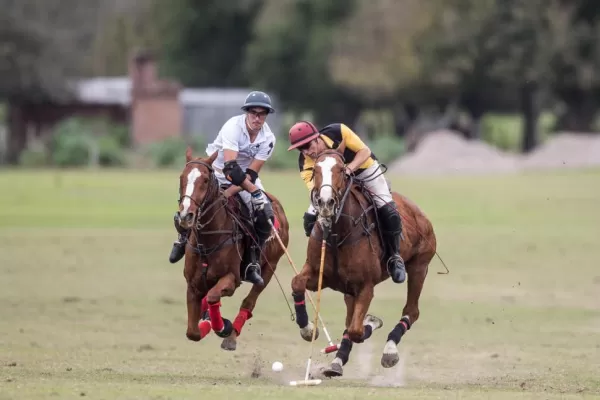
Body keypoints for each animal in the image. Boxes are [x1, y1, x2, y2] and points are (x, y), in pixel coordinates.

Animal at [177, 147, 290, 350]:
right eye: (182, 177)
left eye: (205, 180)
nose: (185, 216)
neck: (208, 238)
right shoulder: (193, 285)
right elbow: (193, 332)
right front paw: (209, 322)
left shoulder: (232, 279)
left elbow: (214, 297)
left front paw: (225, 327)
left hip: (270, 267)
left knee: (249, 301)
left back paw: (231, 335)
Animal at [290, 145, 436, 376]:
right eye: (315, 171)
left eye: (342, 169)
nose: (326, 204)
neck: (337, 235)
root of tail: (418, 211)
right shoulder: (318, 275)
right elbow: (297, 282)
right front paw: (307, 328)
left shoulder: (366, 286)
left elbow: (357, 330)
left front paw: (372, 321)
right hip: (350, 290)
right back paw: (336, 362)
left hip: (419, 267)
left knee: (411, 311)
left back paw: (389, 351)